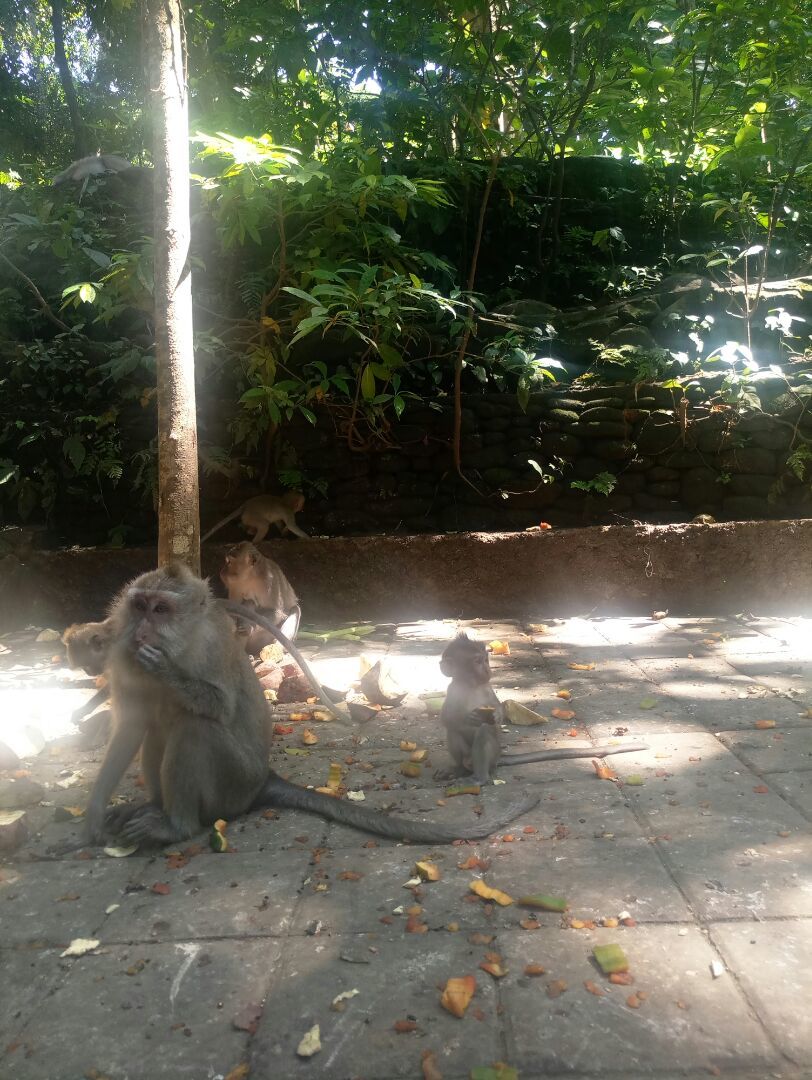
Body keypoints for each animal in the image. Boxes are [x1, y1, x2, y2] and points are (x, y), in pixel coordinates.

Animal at [78, 564, 538, 848]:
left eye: (161, 609)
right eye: (140, 605)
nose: (141, 630)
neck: (180, 640)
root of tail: (262, 780)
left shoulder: (210, 647)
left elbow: (218, 707)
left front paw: (167, 671)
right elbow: (131, 725)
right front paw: (94, 817)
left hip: (232, 785)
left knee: (195, 726)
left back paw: (177, 826)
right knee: (160, 727)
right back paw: (155, 808)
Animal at [435, 634, 648, 783]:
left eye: (486, 660)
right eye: (477, 662)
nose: (488, 670)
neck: (470, 685)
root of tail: (498, 759)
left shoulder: (486, 687)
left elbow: (496, 713)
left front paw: (494, 716)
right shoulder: (453, 689)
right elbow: (447, 718)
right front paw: (467, 718)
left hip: (492, 756)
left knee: (484, 731)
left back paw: (480, 777)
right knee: (453, 732)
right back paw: (457, 769)